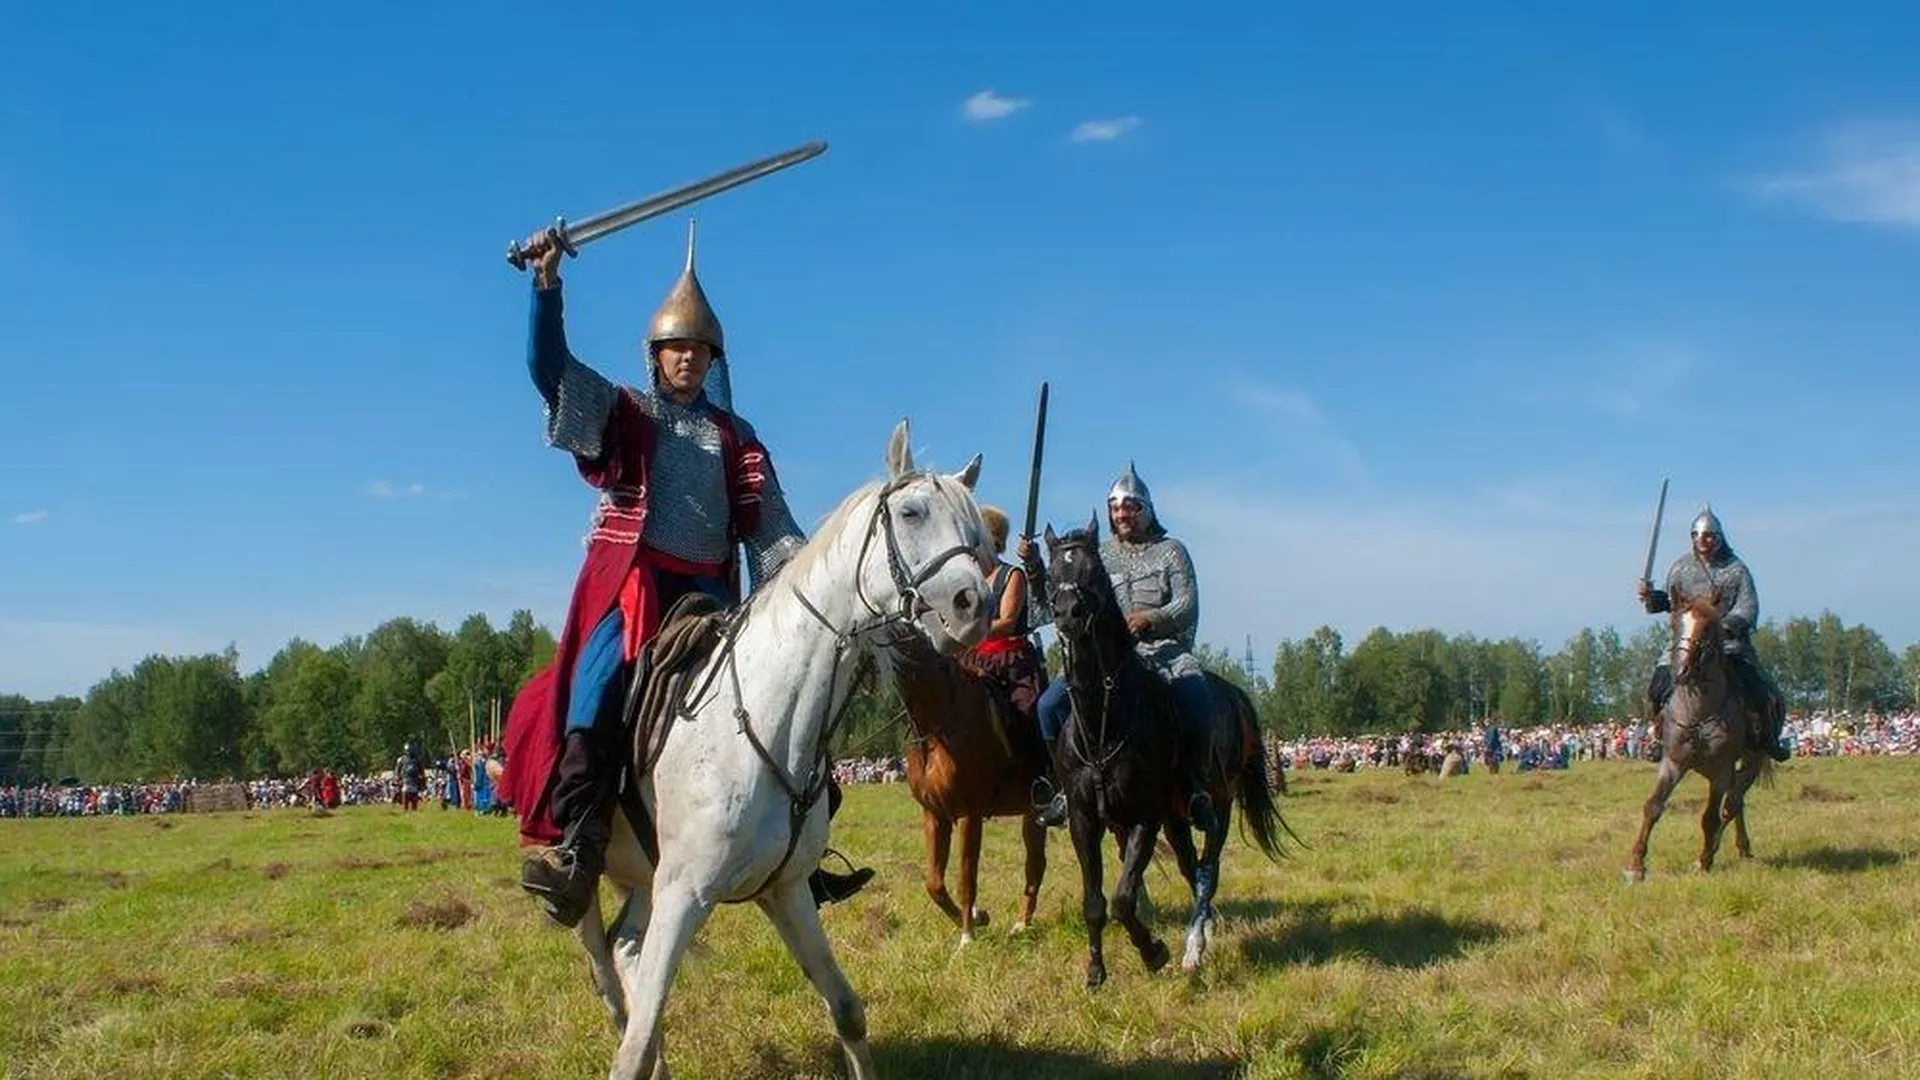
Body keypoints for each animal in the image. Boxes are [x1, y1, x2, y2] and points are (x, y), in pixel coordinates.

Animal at [568, 418, 990, 1076]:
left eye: (975, 533)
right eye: (912, 512)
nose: (974, 606)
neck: (764, 723)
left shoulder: (785, 891)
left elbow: (847, 1011)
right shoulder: (684, 892)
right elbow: (632, 1047)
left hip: (642, 878)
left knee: (626, 949)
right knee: (607, 976)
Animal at [883, 634, 1052, 945]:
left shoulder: (968, 815)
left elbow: (966, 878)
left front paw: (967, 938)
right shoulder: (934, 815)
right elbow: (934, 884)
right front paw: (978, 917)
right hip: (1034, 813)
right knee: (1035, 864)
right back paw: (1021, 924)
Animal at [1044, 518, 1282, 983]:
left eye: (1094, 571)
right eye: (1051, 575)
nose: (1067, 613)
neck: (1103, 722)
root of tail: (1236, 695)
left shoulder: (1144, 817)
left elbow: (1122, 899)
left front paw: (1154, 952)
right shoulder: (1085, 820)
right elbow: (1095, 902)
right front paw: (1096, 970)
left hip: (1217, 804)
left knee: (1208, 870)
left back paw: (1194, 947)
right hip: (1176, 819)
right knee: (1192, 868)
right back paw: (1202, 933)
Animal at [1628, 591, 1774, 880]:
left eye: (1707, 628)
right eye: (1675, 624)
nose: (1681, 671)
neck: (1697, 711)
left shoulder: (1720, 769)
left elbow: (1710, 818)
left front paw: (1703, 861)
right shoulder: (1673, 762)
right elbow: (1653, 806)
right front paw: (1635, 865)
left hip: (1751, 761)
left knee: (1731, 804)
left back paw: (1719, 850)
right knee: (1735, 802)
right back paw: (1739, 846)